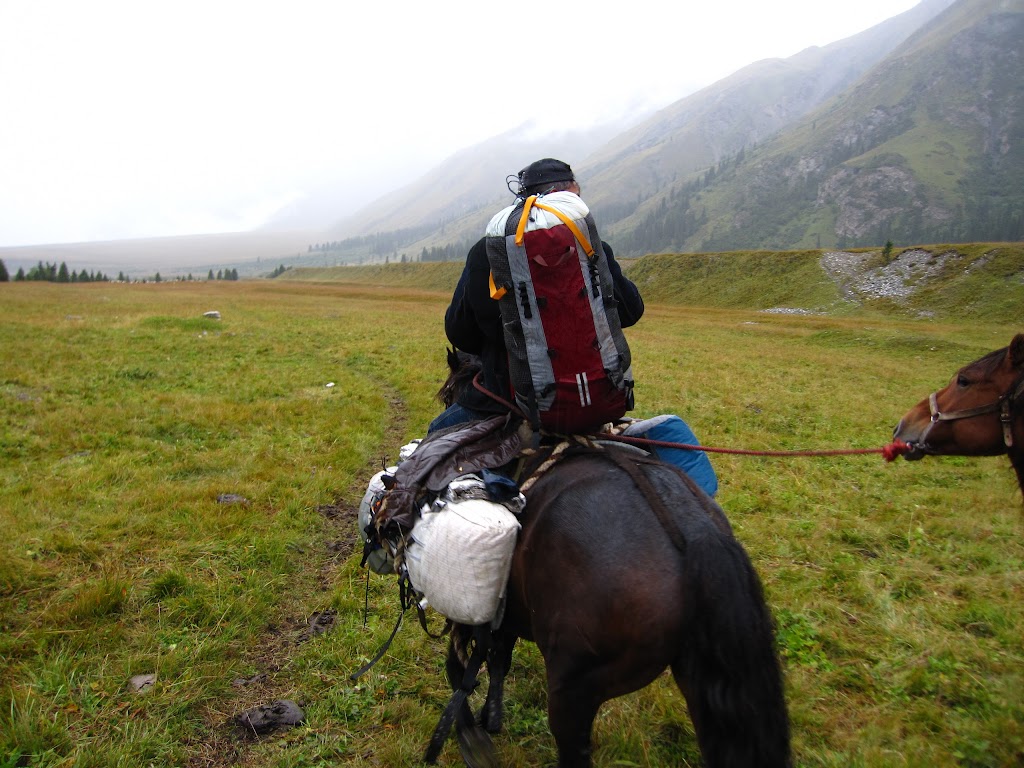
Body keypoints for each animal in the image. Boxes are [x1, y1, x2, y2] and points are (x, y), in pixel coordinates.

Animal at [427, 352, 791, 768]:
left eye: (448, 395)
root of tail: (694, 532)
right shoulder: (510, 612)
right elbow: (500, 659)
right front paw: (491, 718)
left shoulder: (477, 612)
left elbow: (459, 668)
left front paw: (470, 733)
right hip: (705, 683)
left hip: (574, 688)